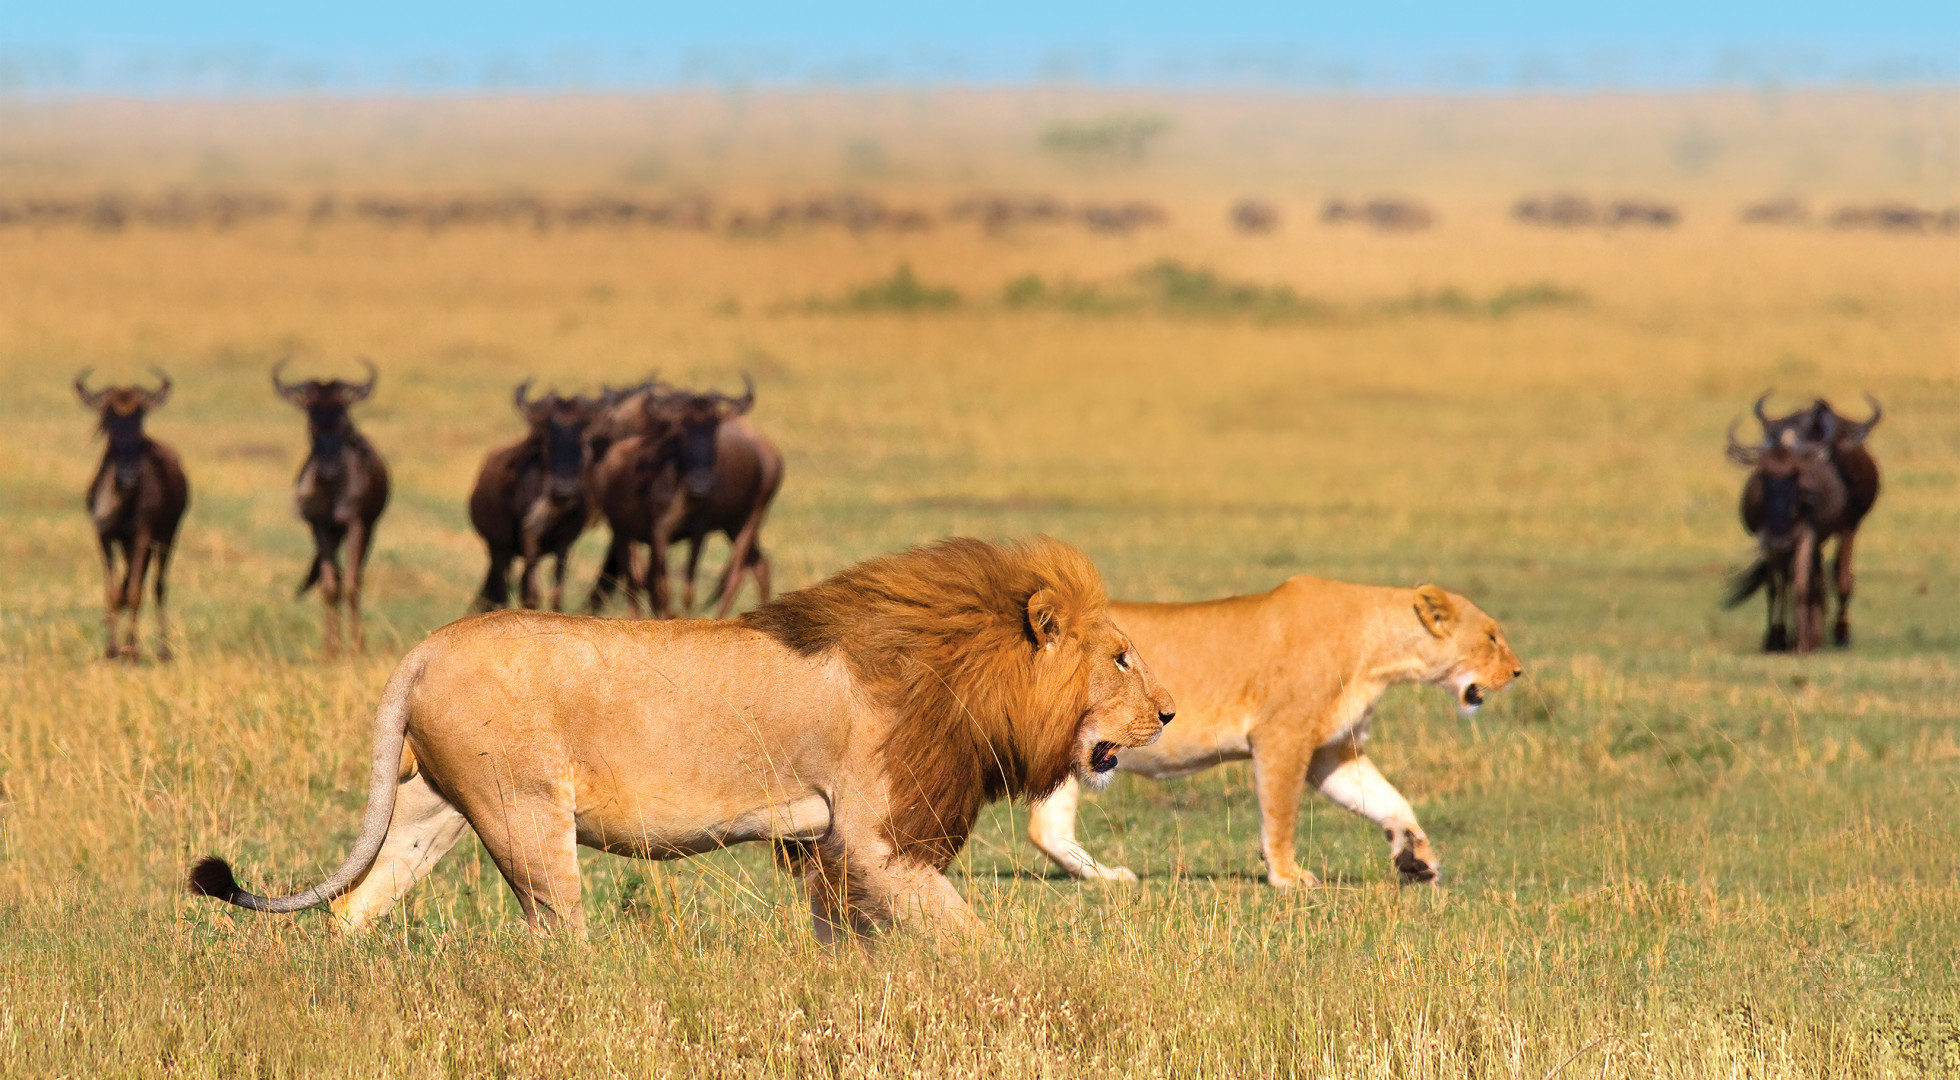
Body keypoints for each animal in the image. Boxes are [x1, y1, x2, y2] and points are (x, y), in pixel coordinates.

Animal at [190, 537, 1175, 942]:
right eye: (1122, 657)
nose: (1168, 713)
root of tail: (425, 648)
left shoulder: (830, 845)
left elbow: (849, 941)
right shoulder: (877, 837)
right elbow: (974, 939)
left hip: (433, 809)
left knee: (355, 908)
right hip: (525, 814)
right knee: (555, 935)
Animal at [1028, 577, 1520, 887]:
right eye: (1492, 637)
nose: (1518, 672)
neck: (1379, 652)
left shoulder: (1332, 752)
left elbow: (1389, 799)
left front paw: (1415, 857)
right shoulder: (1283, 736)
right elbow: (1280, 814)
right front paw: (1287, 876)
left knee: (1046, 828)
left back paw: (1107, 877)